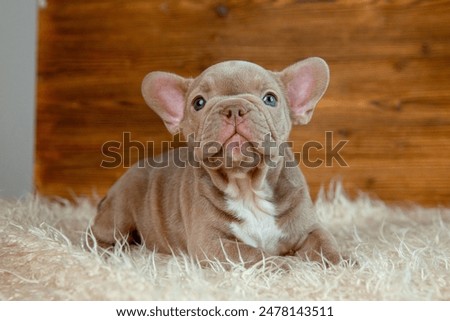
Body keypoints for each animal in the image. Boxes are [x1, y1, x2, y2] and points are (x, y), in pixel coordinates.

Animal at [92, 58, 344, 268]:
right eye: (198, 103)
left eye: (270, 99)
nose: (233, 107)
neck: (247, 186)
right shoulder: (213, 243)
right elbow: (255, 255)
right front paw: (289, 266)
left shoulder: (309, 228)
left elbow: (328, 247)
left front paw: (342, 265)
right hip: (120, 213)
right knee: (97, 237)